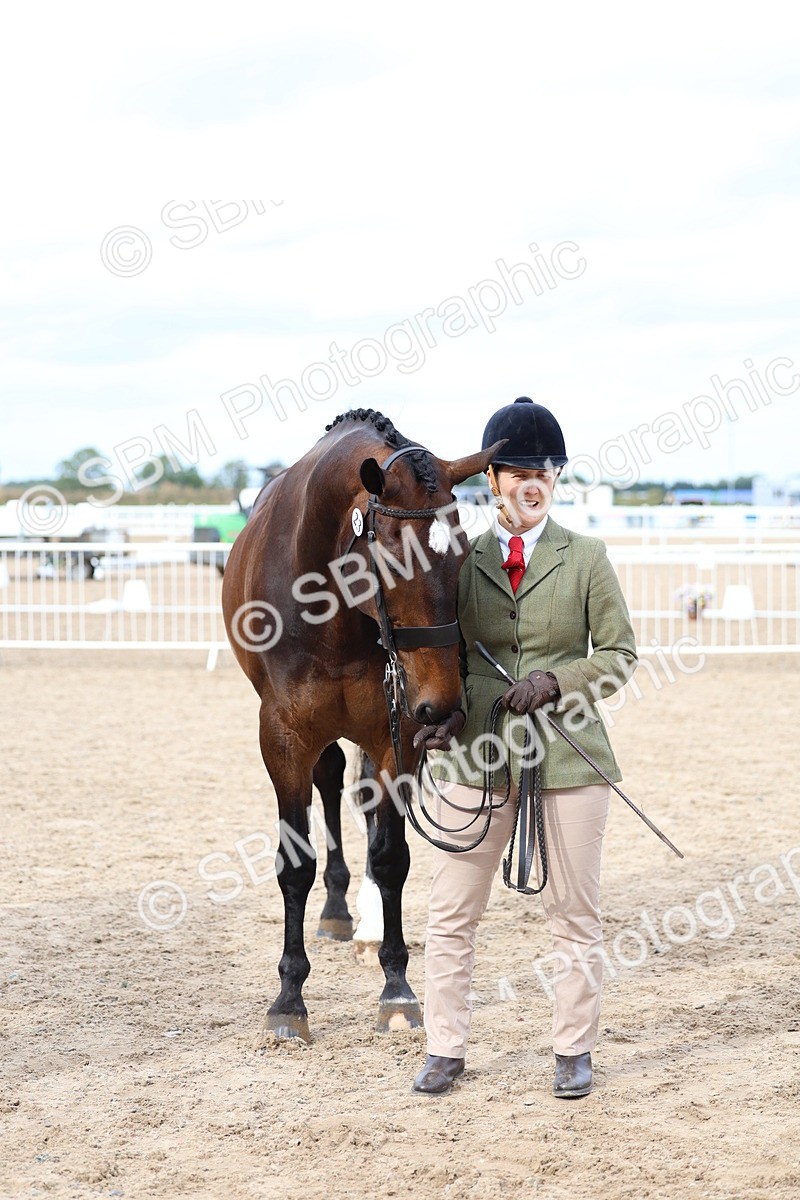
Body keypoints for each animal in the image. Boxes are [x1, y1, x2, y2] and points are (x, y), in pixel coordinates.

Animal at [221, 408, 501, 1041]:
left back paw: (371, 926)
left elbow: (392, 855)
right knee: (330, 783)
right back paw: (336, 911)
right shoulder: (283, 739)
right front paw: (289, 999)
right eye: (396, 559)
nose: (444, 707)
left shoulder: (397, 734)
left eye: (464, 554)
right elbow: (295, 863)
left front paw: (397, 987)